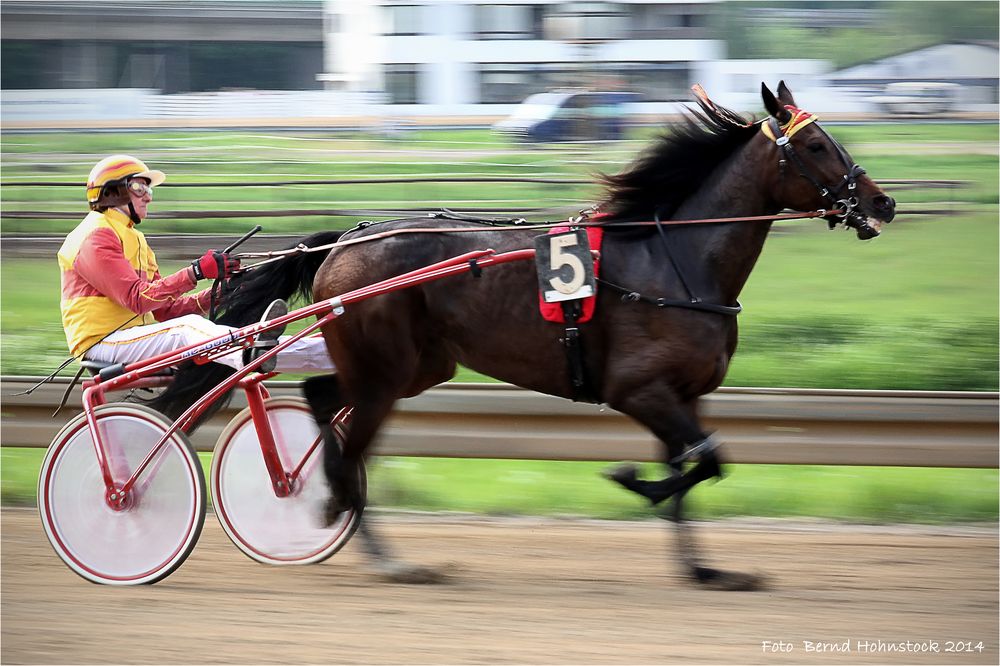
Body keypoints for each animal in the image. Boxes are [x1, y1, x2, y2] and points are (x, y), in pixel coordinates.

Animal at [150, 83, 900, 588]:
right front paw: (637, 483)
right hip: (387, 366)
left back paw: (340, 502)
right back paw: (367, 535)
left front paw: (704, 568)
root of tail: (346, 242)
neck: (672, 260)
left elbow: (700, 462)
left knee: (322, 397)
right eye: (815, 145)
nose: (882, 201)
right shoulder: (638, 389)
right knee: (348, 428)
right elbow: (703, 461)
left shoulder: (685, 395)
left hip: (414, 366)